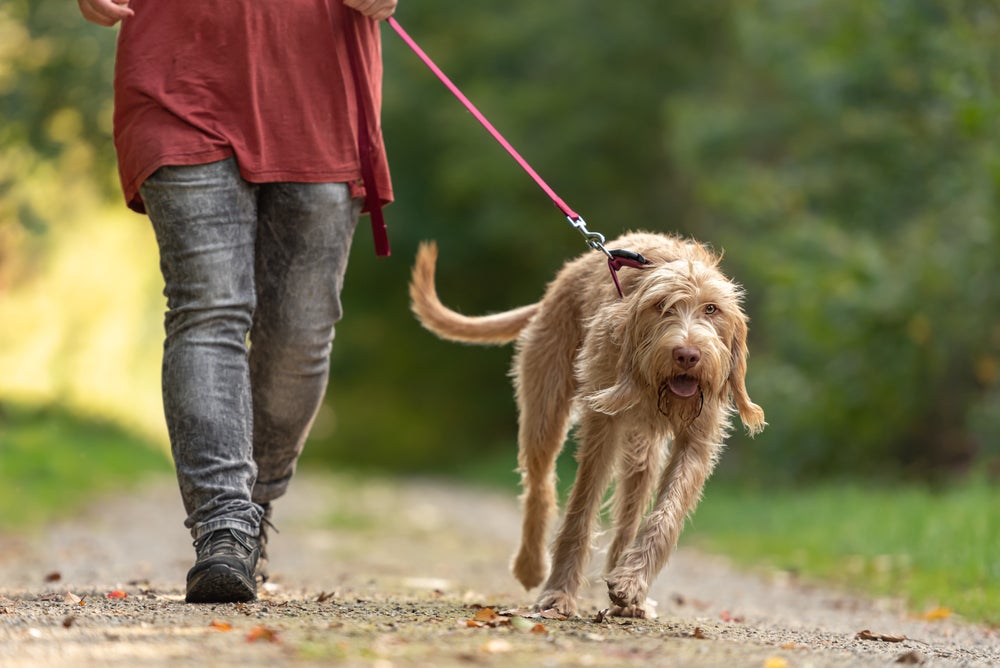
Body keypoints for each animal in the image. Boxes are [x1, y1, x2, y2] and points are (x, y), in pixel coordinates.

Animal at [406, 232, 764, 620]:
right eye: (661, 306)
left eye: (711, 309)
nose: (687, 354)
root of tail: (562, 280)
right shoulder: (602, 425)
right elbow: (580, 508)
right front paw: (558, 593)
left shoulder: (697, 439)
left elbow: (666, 514)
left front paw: (632, 583)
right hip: (544, 410)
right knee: (539, 486)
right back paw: (531, 565)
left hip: (643, 450)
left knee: (629, 511)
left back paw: (627, 590)